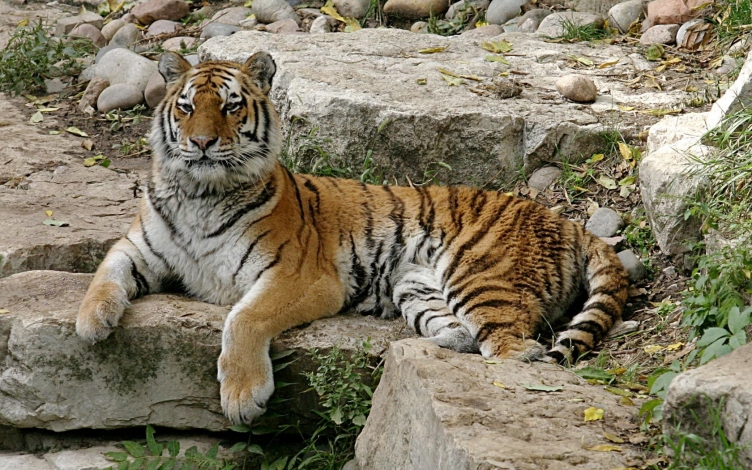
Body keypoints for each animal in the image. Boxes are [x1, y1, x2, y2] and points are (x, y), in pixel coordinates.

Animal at [76, 51, 629, 425]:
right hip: (415, 285)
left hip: (479, 274)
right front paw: (91, 323)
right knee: (465, 335)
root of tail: (570, 222)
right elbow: (104, 272)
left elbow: (243, 318)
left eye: (231, 107)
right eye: (187, 107)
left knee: (516, 349)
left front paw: (242, 396)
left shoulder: (299, 276)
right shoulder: (140, 247)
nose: (203, 143)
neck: (200, 193)